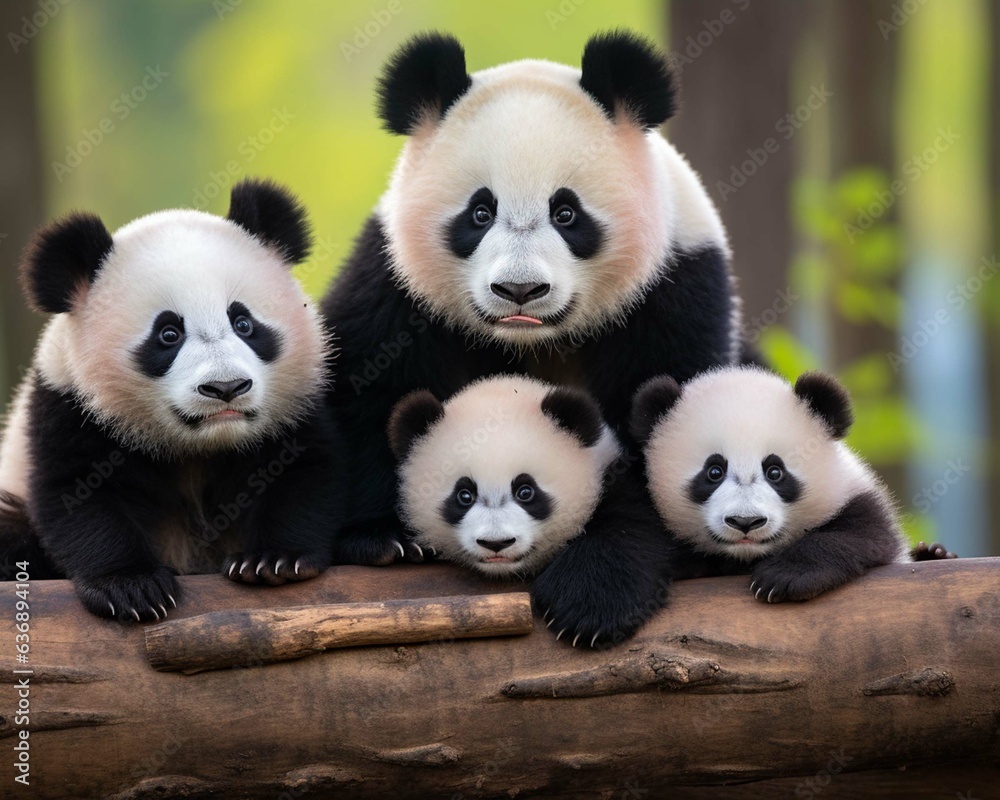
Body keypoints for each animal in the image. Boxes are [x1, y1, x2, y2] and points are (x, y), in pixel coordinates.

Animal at [0, 179, 345, 621]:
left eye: (243, 323)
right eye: (168, 334)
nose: (226, 387)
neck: (201, 446)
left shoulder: (297, 406)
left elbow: (305, 470)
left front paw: (273, 560)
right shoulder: (68, 406)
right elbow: (79, 495)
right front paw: (132, 587)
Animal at [630, 366, 933, 601]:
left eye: (775, 472)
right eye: (714, 471)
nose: (745, 522)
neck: (747, 556)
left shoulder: (856, 499)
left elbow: (861, 536)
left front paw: (784, 577)